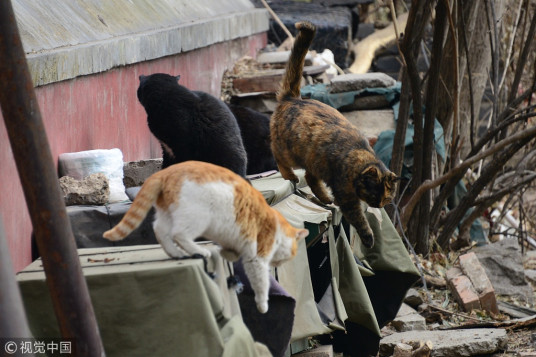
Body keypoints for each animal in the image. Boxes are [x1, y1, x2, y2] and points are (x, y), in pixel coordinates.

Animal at [102, 160, 308, 312]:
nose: (278, 264)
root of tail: (165, 172)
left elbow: (230, 252)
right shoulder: (256, 257)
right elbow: (261, 282)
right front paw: (263, 305)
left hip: (167, 214)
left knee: (160, 230)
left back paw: (177, 254)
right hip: (197, 217)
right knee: (179, 234)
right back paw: (200, 251)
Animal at [270, 20, 400, 248]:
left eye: (386, 198)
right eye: (374, 193)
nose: (377, 204)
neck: (359, 159)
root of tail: (292, 98)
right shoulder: (346, 197)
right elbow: (359, 218)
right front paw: (368, 238)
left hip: (313, 160)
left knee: (311, 178)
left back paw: (324, 198)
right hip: (288, 151)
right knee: (277, 156)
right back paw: (290, 176)